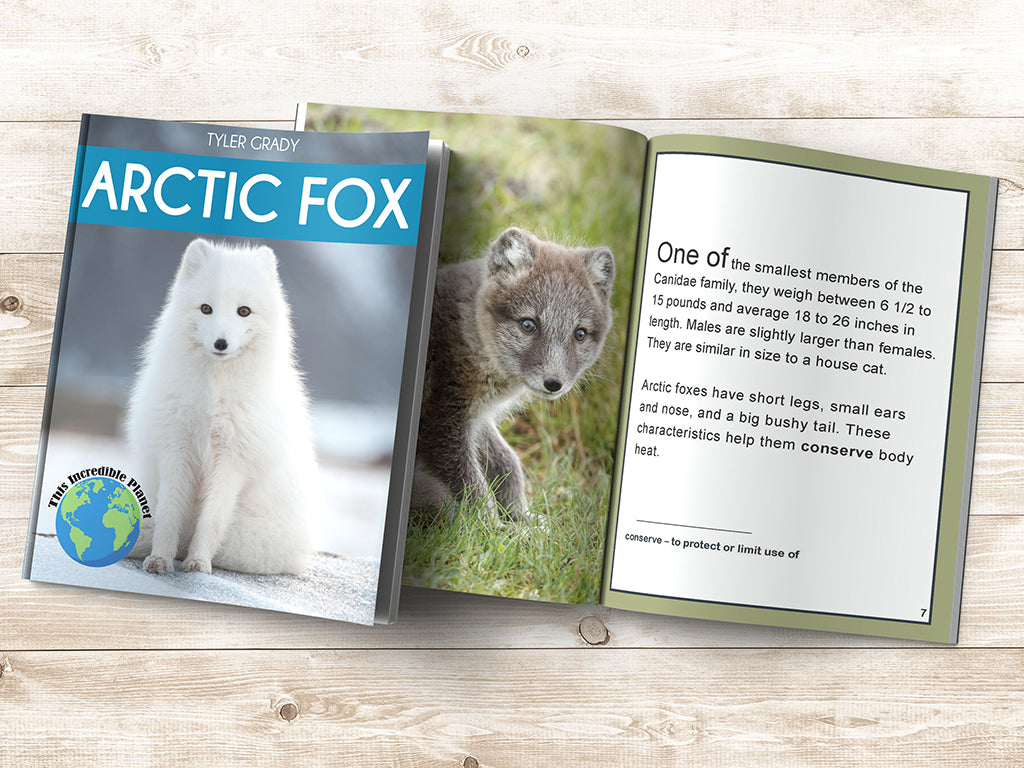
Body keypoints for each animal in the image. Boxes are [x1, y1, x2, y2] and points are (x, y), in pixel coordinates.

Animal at [126, 238, 317, 575]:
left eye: (244, 311)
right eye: (206, 308)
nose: (220, 343)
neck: (213, 397)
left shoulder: (233, 460)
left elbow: (212, 518)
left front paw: (198, 561)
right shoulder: (176, 449)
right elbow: (168, 514)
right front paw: (160, 558)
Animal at [411, 226, 615, 520]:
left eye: (580, 334)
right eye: (528, 325)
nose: (553, 383)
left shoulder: (476, 416)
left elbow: (508, 461)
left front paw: (521, 519)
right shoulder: (442, 418)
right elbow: (471, 484)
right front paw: (488, 526)